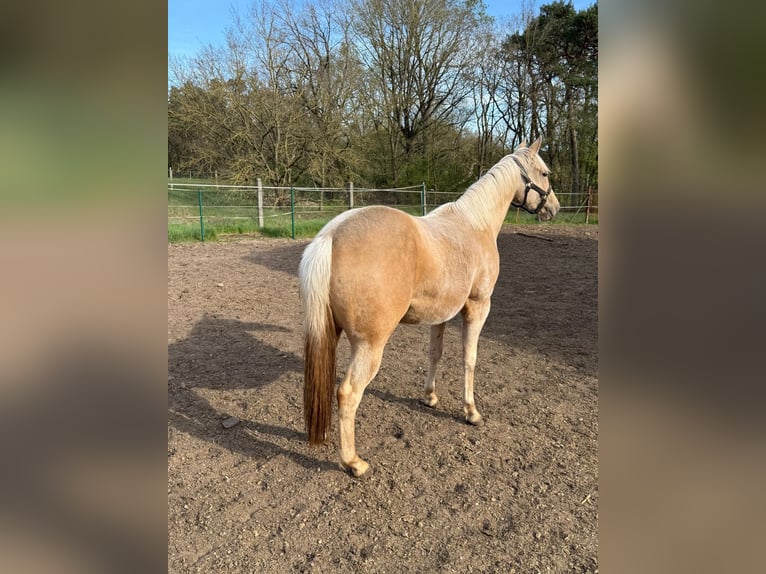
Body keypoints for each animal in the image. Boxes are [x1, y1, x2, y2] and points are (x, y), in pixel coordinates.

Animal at [298, 138, 559, 476]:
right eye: (544, 172)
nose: (554, 208)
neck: (474, 225)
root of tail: (331, 235)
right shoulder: (478, 306)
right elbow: (469, 358)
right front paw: (471, 411)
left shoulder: (441, 315)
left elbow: (435, 354)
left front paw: (430, 397)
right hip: (370, 346)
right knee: (348, 393)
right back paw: (353, 462)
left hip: (331, 334)